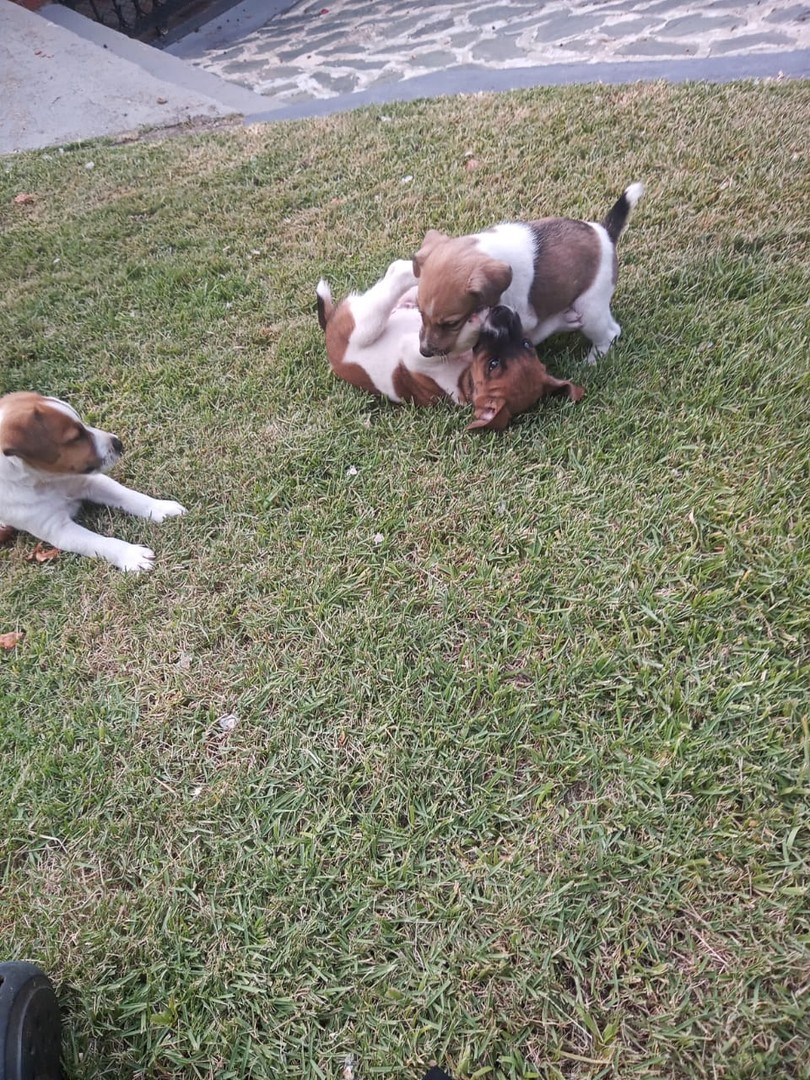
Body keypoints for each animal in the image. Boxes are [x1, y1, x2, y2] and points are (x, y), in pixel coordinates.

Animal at [0, 390, 185, 574]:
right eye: (75, 437)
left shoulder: (90, 482)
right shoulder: (57, 529)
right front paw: (131, 554)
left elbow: (128, 496)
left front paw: (161, 508)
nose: (119, 443)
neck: (46, 481)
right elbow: (99, 542)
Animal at [317, 260, 583, 429]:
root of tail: (329, 325)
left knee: (389, 287)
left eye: (492, 365)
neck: (465, 375)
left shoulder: (416, 353)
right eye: (526, 344)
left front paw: (475, 323)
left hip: (363, 328)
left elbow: (447, 345)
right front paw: (564, 320)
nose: (504, 313)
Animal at [412, 179, 648, 360]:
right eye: (419, 312)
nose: (424, 352)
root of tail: (605, 233)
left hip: (590, 307)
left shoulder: (524, 316)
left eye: (452, 323)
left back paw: (592, 360)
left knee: (610, 333)